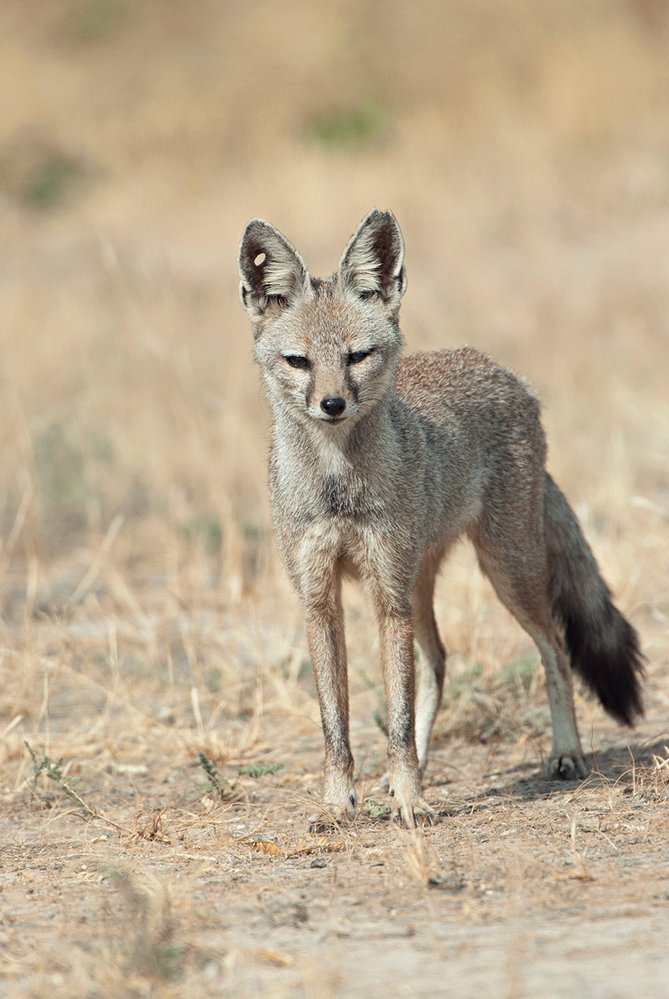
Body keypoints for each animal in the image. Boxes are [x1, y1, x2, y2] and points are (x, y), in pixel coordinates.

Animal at [236, 207, 640, 824]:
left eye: (357, 357)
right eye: (299, 361)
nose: (332, 405)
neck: (337, 485)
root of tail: (505, 372)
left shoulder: (386, 596)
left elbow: (398, 718)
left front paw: (412, 802)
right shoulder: (319, 600)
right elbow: (336, 725)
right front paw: (339, 803)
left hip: (504, 573)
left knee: (555, 650)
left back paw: (565, 754)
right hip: (419, 587)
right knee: (439, 662)